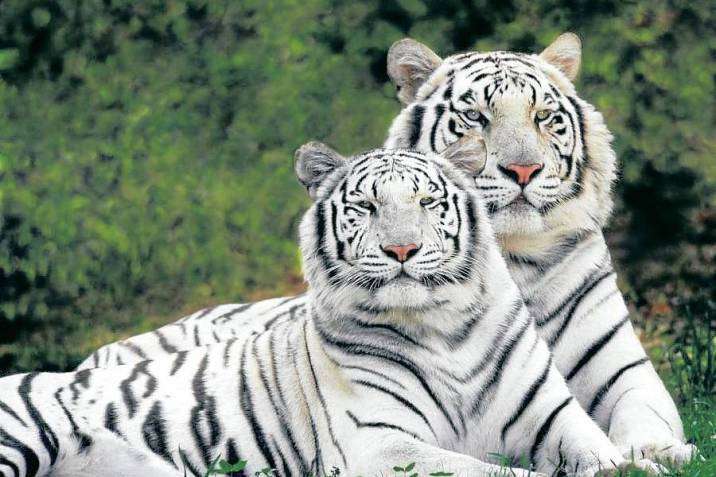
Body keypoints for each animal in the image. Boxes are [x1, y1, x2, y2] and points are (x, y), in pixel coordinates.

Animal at [0, 147, 664, 476]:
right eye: (366, 207)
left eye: (428, 202)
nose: (402, 250)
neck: (445, 329)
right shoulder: (381, 445)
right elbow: (493, 473)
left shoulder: (555, 420)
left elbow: (609, 458)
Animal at [81, 34, 696, 464]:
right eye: (475, 117)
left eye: (544, 117)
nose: (523, 170)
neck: (513, 257)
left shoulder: (622, 370)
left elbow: (647, 414)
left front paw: (663, 452)